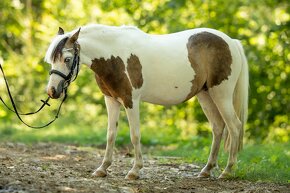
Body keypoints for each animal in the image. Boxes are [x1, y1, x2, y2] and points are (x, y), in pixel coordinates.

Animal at [45, 24, 249, 179]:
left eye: (67, 59)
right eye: (51, 60)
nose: (52, 91)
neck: (115, 55)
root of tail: (231, 42)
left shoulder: (131, 101)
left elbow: (135, 135)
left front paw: (134, 171)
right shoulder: (111, 100)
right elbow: (111, 134)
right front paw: (102, 169)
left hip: (221, 94)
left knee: (234, 126)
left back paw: (227, 171)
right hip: (205, 95)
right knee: (218, 127)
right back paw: (206, 170)